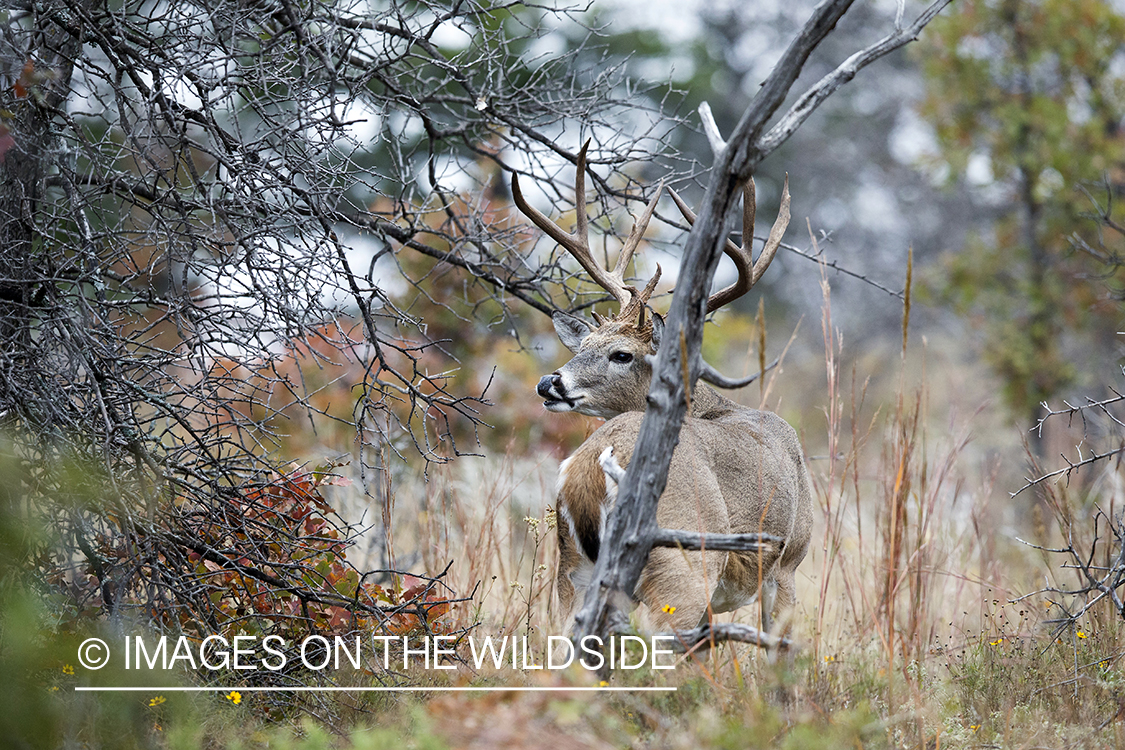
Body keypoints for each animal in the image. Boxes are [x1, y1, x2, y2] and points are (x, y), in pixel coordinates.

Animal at [515, 140, 814, 634]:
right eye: (586, 345)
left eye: (620, 354)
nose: (548, 382)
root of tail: (588, 469)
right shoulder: (788, 563)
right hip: (681, 568)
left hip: (572, 571)